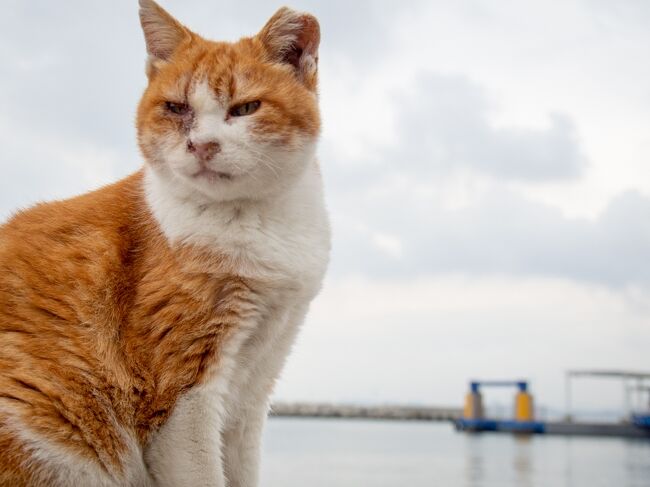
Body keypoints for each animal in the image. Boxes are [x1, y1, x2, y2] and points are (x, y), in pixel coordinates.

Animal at [0, 1, 326, 486]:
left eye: (246, 108)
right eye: (176, 108)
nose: (202, 145)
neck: (255, 222)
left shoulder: (255, 386)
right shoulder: (184, 394)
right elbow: (202, 471)